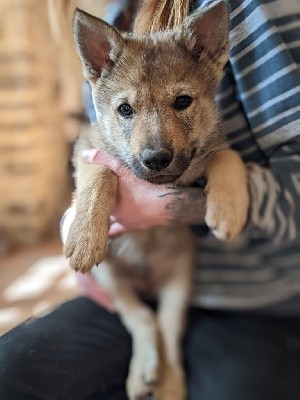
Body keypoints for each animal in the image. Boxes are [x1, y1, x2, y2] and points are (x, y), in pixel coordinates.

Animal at [64, 1, 250, 398]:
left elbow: (227, 154)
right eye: (125, 109)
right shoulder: (85, 150)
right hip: (111, 278)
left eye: (182, 101)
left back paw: (168, 383)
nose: (155, 159)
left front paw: (228, 208)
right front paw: (84, 236)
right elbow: (102, 174)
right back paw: (143, 373)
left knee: (165, 328)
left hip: (180, 280)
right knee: (142, 319)